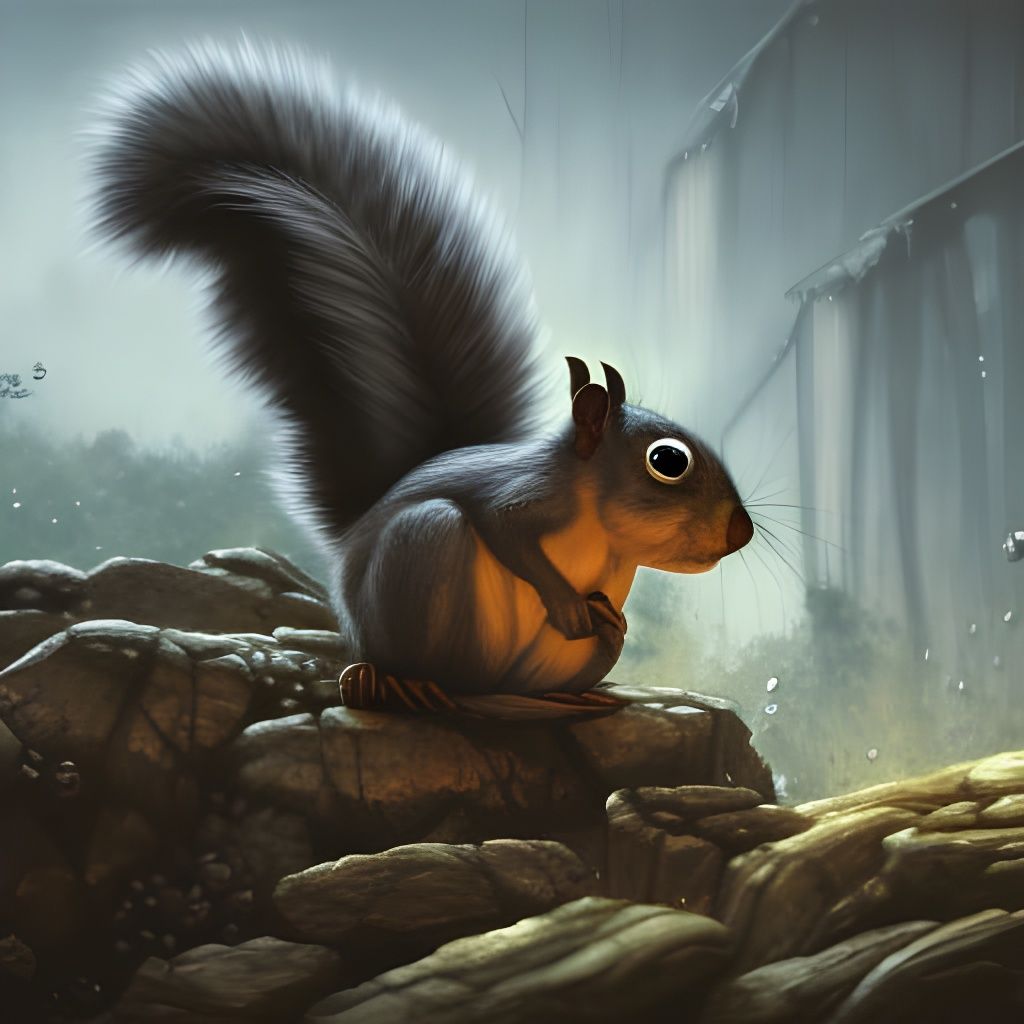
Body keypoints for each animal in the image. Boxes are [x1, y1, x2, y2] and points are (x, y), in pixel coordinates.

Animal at [89, 41, 753, 715]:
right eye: (667, 461)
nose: (742, 532)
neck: (594, 515)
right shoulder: (521, 497)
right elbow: (507, 535)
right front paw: (566, 602)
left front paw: (608, 622)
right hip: (428, 553)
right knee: (439, 661)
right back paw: (402, 683)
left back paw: (574, 689)